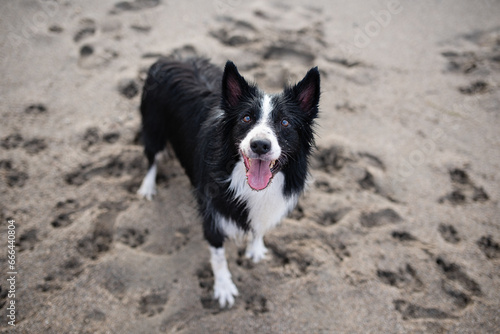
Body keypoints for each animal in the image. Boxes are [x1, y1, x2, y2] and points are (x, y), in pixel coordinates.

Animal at [137, 58, 320, 308]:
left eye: (285, 122)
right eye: (246, 118)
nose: (260, 145)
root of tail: (170, 58)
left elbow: (258, 228)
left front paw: (256, 249)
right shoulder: (212, 214)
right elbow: (219, 257)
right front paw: (224, 288)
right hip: (153, 123)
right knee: (151, 156)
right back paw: (148, 186)